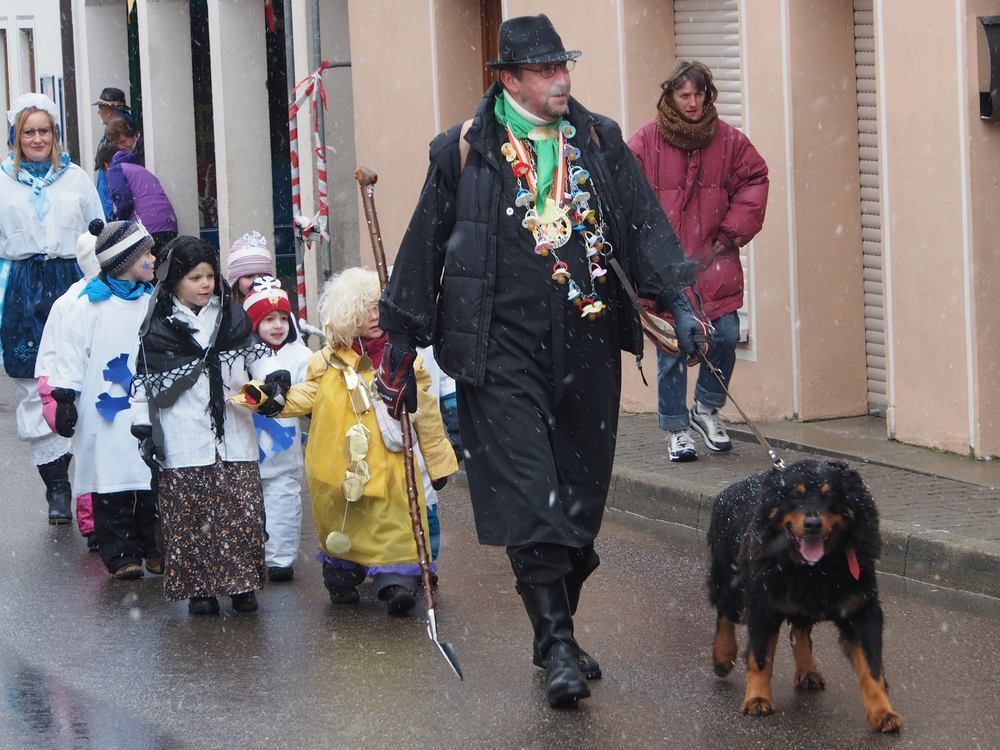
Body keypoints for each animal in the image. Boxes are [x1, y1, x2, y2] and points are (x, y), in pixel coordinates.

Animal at [708, 458, 904, 736]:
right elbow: (760, 656)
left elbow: (872, 666)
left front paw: (883, 712)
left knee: (799, 630)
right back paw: (723, 657)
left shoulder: (862, 610)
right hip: (729, 577)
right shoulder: (761, 604)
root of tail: (730, 488)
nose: (813, 523)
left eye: (830, 494)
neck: (817, 570)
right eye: (794, 495)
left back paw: (808, 670)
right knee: (725, 612)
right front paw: (757, 698)